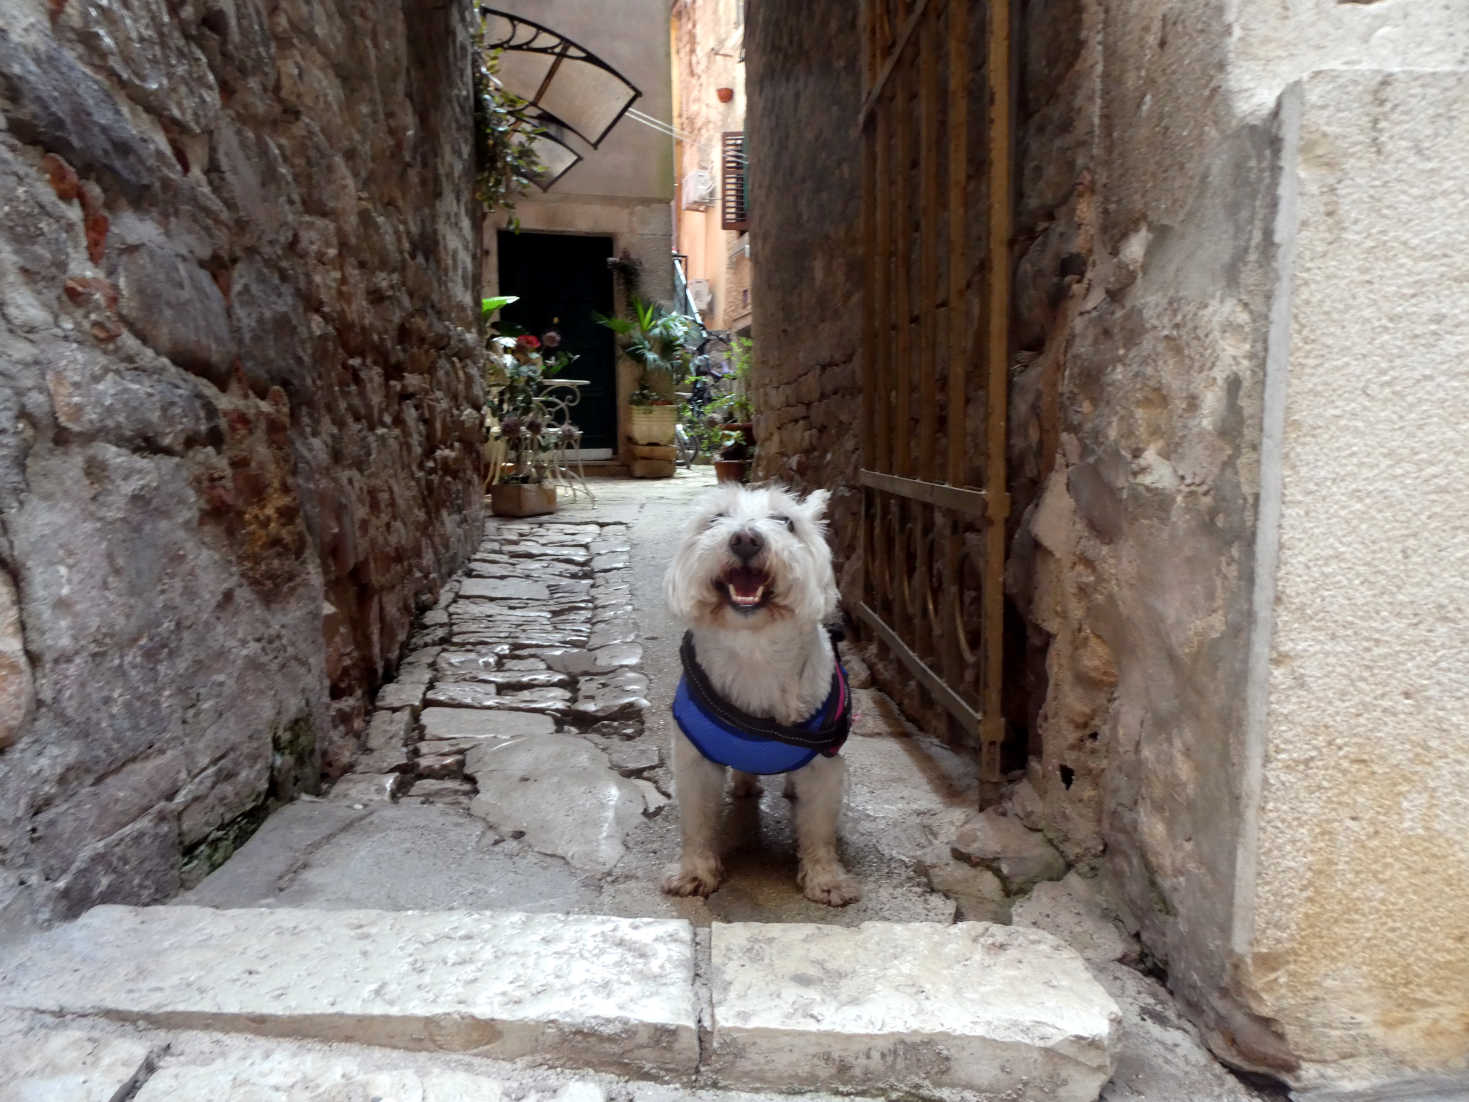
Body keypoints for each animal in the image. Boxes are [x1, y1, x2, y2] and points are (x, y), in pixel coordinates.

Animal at [661, 481, 857, 905]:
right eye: (716, 518)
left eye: (787, 521)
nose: (745, 539)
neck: (755, 653)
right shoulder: (693, 761)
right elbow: (697, 823)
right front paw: (694, 873)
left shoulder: (824, 767)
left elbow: (819, 830)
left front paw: (826, 879)